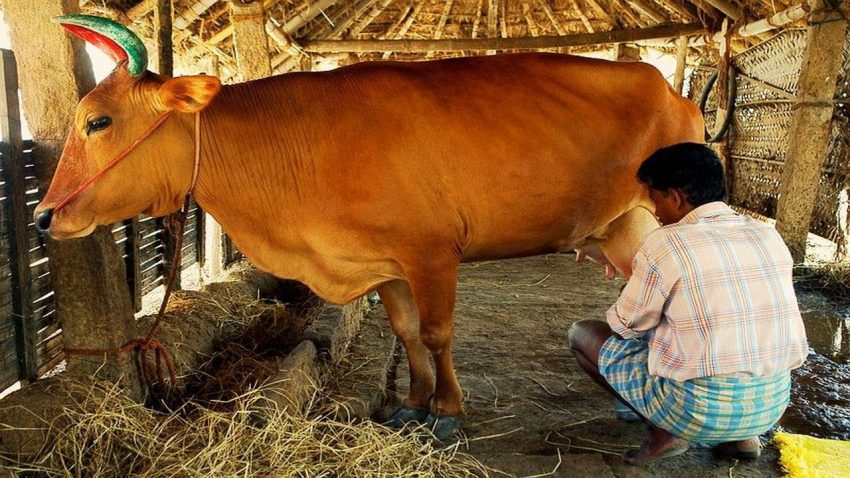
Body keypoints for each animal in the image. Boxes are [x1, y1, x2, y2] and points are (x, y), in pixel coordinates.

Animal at [34, 16, 704, 438]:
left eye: (98, 121)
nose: (45, 215)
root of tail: (671, 90)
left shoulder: (432, 253)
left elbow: (436, 332)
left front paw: (447, 411)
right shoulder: (383, 264)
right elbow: (406, 332)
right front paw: (411, 404)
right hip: (621, 230)